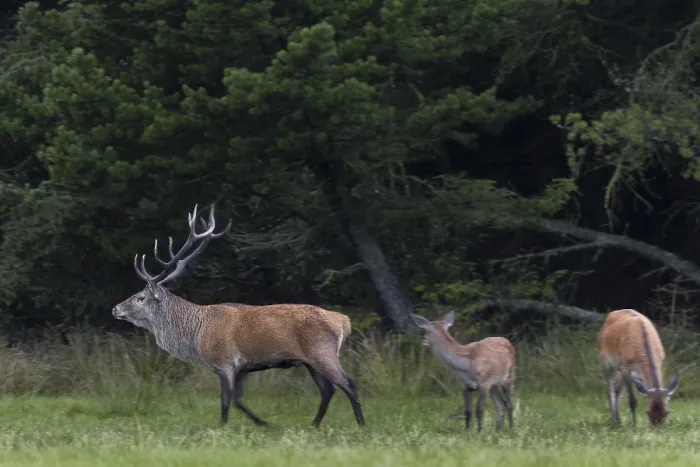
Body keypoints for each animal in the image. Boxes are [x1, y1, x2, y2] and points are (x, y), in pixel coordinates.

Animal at [112, 203, 365, 428]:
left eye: (140, 297)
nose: (115, 309)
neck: (195, 335)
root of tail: (343, 321)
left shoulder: (225, 362)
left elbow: (226, 401)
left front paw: (223, 428)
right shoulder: (243, 367)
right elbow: (238, 400)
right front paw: (265, 423)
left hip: (322, 351)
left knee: (348, 383)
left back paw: (361, 424)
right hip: (309, 360)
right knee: (328, 389)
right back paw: (314, 424)